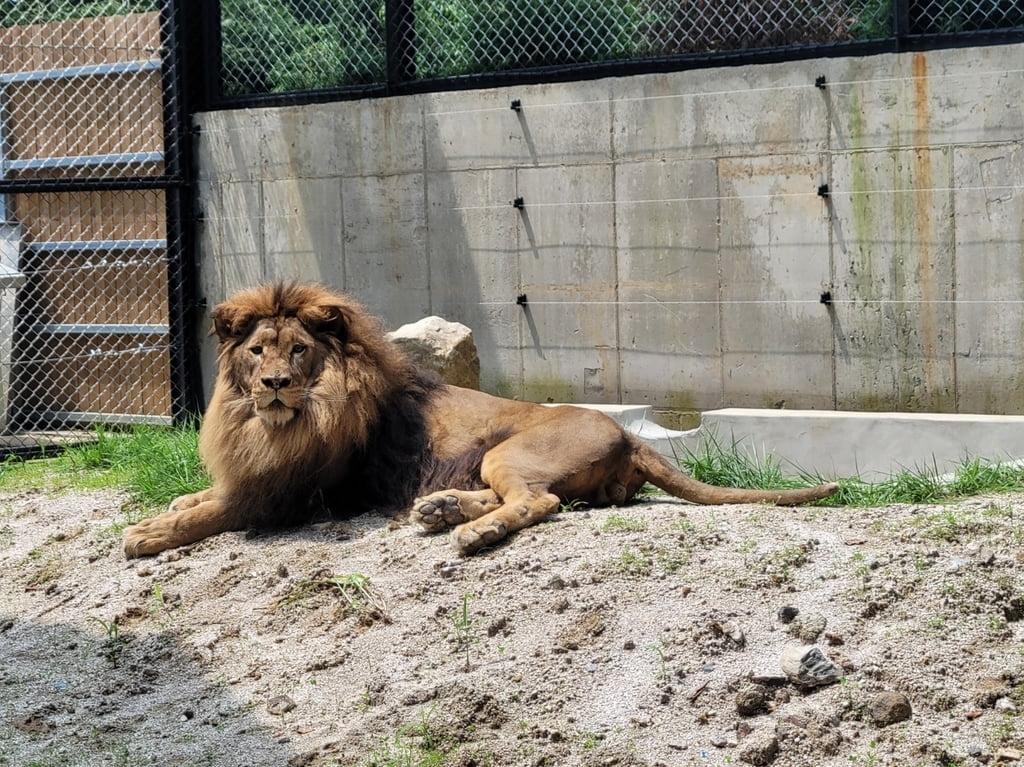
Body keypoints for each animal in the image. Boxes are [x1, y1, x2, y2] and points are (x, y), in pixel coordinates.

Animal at [121, 280, 839, 557]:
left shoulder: (287, 496)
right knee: (531, 497)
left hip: (507, 451)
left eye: (299, 350)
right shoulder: (255, 472)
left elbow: (212, 513)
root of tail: (630, 433)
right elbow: (202, 497)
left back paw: (471, 532)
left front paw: (147, 533)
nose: (272, 384)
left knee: (539, 502)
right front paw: (170, 505)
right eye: (256, 351)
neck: (273, 425)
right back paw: (440, 509)